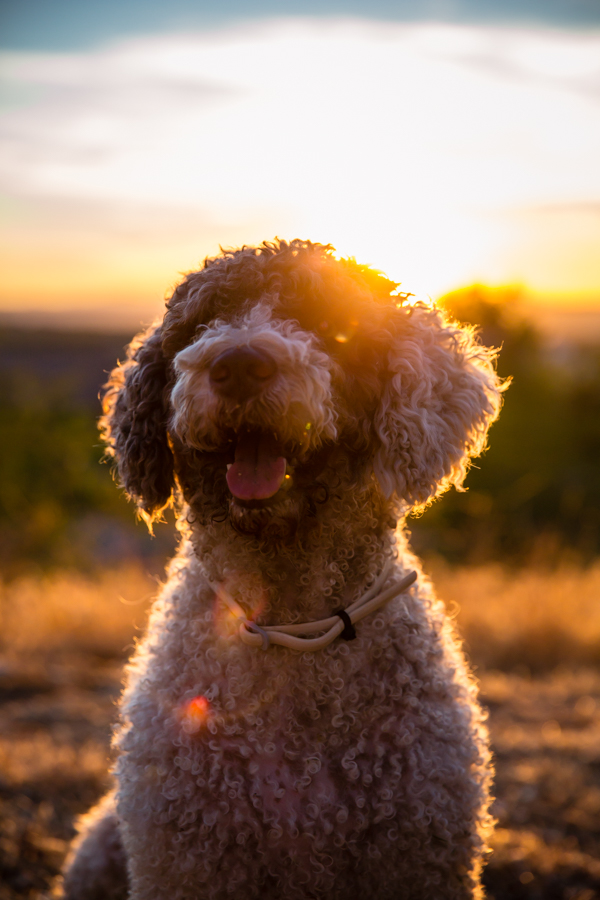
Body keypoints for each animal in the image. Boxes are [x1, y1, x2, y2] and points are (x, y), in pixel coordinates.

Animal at [59, 239, 502, 900]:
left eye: (321, 321)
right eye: (202, 323)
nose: (238, 364)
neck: (291, 617)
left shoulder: (417, 851)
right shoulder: (186, 861)